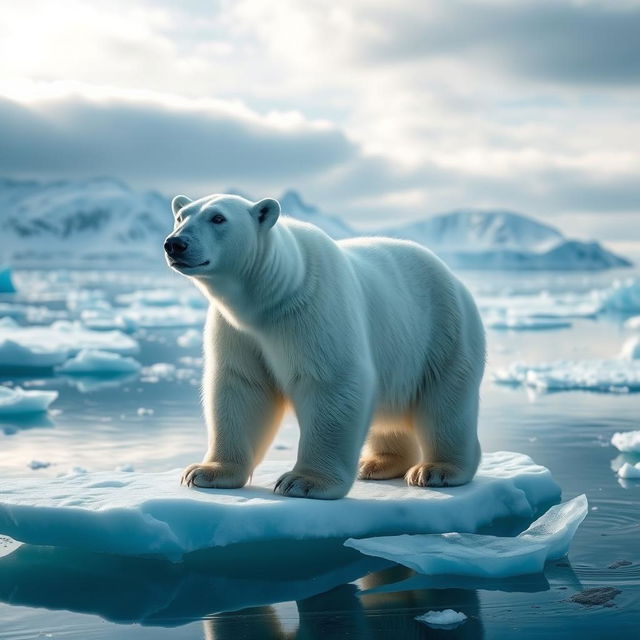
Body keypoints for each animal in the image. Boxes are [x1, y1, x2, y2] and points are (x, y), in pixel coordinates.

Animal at [165, 194, 484, 500]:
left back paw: (437, 469)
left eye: (218, 217)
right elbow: (241, 386)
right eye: (181, 216)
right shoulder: (236, 329)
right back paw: (376, 463)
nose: (175, 244)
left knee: (447, 402)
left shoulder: (313, 310)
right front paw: (204, 472)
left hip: (444, 332)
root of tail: (453, 278)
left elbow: (331, 383)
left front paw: (303, 482)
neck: (271, 293)